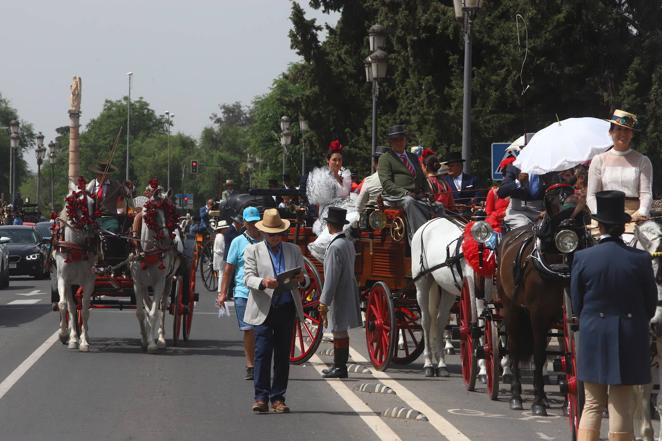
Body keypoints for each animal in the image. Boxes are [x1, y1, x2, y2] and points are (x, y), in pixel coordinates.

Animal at [52, 178, 99, 350]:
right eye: (77, 204)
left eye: (93, 203)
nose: (90, 229)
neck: (77, 246)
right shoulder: (63, 279)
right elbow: (64, 305)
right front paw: (65, 334)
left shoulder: (89, 280)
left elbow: (85, 308)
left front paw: (84, 341)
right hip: (70, 284)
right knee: (71, 307)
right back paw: (72, 336)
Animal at [129, 182, 182, 350]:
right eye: (154, 214)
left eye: (170, 212)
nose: (167, 240)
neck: (147, 251)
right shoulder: (137, 283)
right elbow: (141, 312)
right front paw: (145, 339)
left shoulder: (159, 282)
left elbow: (154, 312)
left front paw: (152, 343)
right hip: (146, 284)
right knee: (148, 305)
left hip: (169, 279)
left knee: (162, 306)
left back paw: (161, 338)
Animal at [498, 182, 592, 416]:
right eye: (553, 203)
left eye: (582, 210)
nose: (568, 237)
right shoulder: (537, 313)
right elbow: (539, 354)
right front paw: (538, 401)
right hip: (511, 308)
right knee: (514, 347)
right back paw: (516, 396)